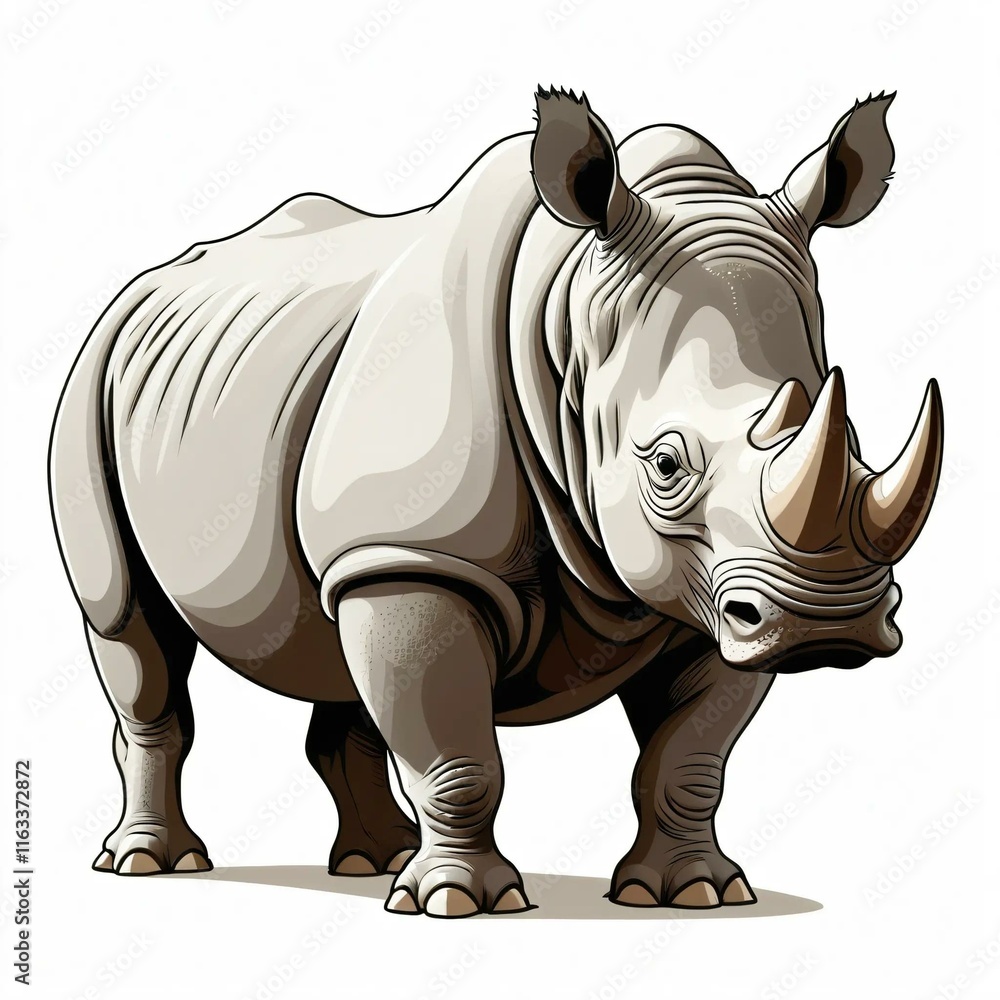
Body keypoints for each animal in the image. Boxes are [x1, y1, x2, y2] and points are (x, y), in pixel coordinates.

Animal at [50, 86, 943, 917]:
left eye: (856, 439)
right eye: (664, 464)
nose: (826, 625)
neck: (570, 322)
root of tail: (139, 287)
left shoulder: (720, 589)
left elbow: (690, 758)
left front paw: (695, 893)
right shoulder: (421, 555)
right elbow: (457, 751)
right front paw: (459, 902)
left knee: (336, 642)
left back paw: (370, 864)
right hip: (91, 377)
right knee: (128, 627)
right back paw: (153, 864)